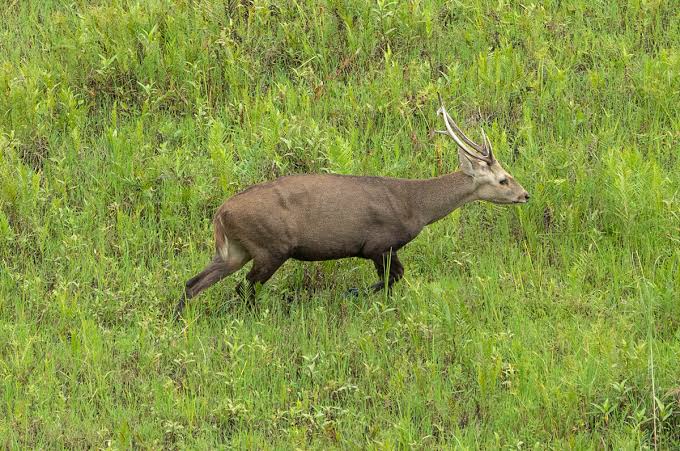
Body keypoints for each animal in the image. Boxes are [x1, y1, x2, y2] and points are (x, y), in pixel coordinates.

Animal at [174, 96, 530, 317]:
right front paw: (354, 294)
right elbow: (392, 278)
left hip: (236, 251)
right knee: (243, 289)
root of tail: (220, 214)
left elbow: (395, 279)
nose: (526, 195)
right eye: (503, 180)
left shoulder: (384, 249)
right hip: (270, 247)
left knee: (194, 283)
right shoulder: (379, 244)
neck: (415, 205)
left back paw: (181, 321)